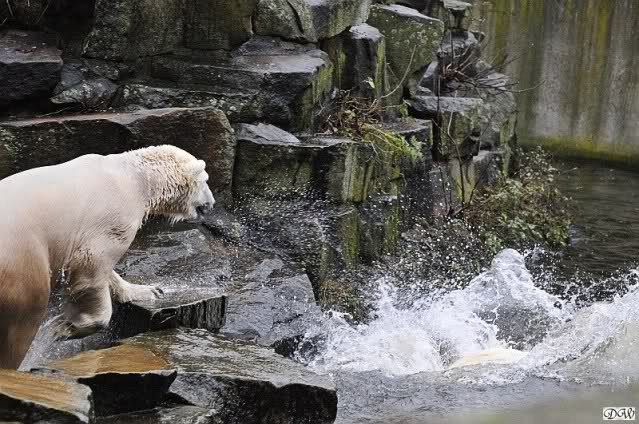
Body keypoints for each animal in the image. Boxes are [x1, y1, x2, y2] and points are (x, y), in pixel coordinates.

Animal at [0, 145, 215, 369]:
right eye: (206, 180)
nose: (212, 204)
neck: (136, 178)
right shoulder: (114, 213)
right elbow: (91, 263)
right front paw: (64, 328)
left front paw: (151, 290)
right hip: (23, 260)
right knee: (22, 321)